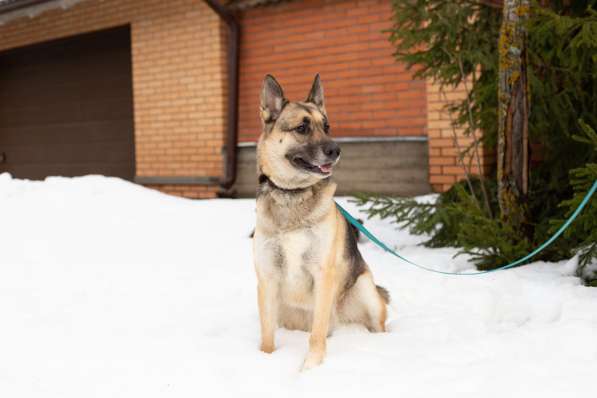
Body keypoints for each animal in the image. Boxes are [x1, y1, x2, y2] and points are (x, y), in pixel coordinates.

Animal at [250, 74, 386, 370]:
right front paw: (266, 361)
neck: (292, 194)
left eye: (327, 126)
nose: (336, 150)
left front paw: (310, 368)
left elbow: (316, 334)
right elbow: (266, 336)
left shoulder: (323, 275)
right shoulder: (267, 278)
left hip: (364, 289)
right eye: (302, 128)